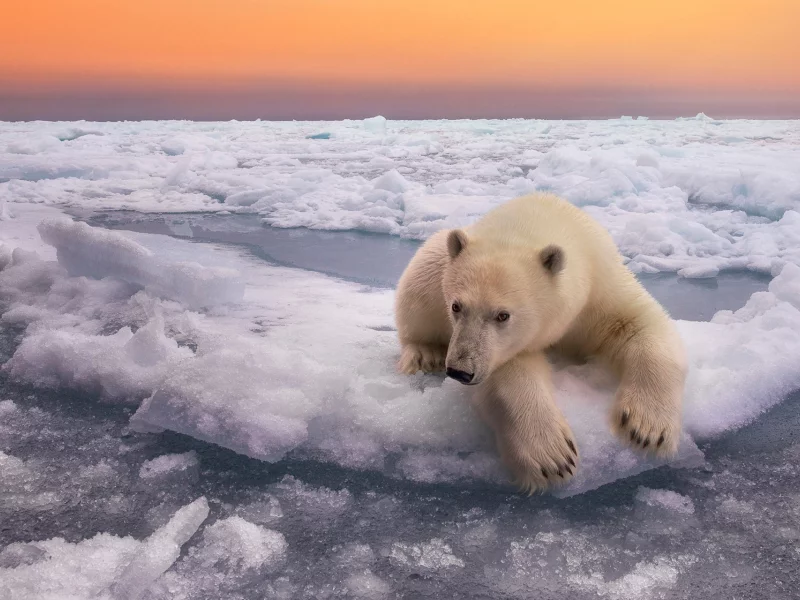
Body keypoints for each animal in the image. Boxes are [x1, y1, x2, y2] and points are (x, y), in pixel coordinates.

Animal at [394, 192, 688, 492]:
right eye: (456, 306)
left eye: (502, 315)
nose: (460, 370)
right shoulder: (504, 346)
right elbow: (512, 371)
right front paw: (552, 456)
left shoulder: (602, 287)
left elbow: (640, 325)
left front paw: (646, 428)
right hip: (434, 267)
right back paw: (424, 353)